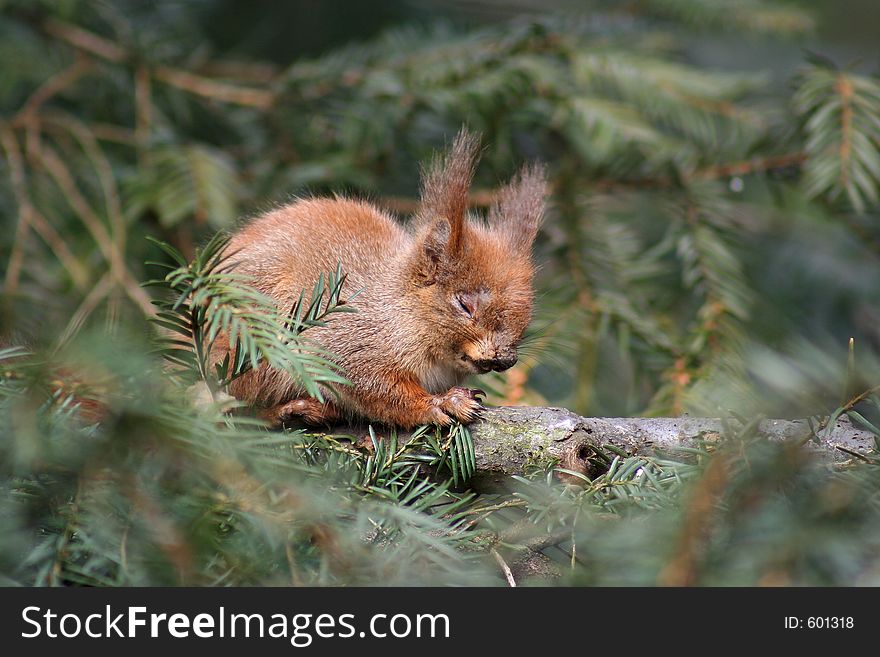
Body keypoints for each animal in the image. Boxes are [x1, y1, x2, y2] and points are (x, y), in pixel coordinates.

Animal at [217, 130, 548, 428]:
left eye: (527, 317)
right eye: (465, 305)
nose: (506, 360)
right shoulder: (351, 340)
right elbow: (378, 389)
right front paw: (441, 403)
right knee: (242, 406)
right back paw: (293, 411)